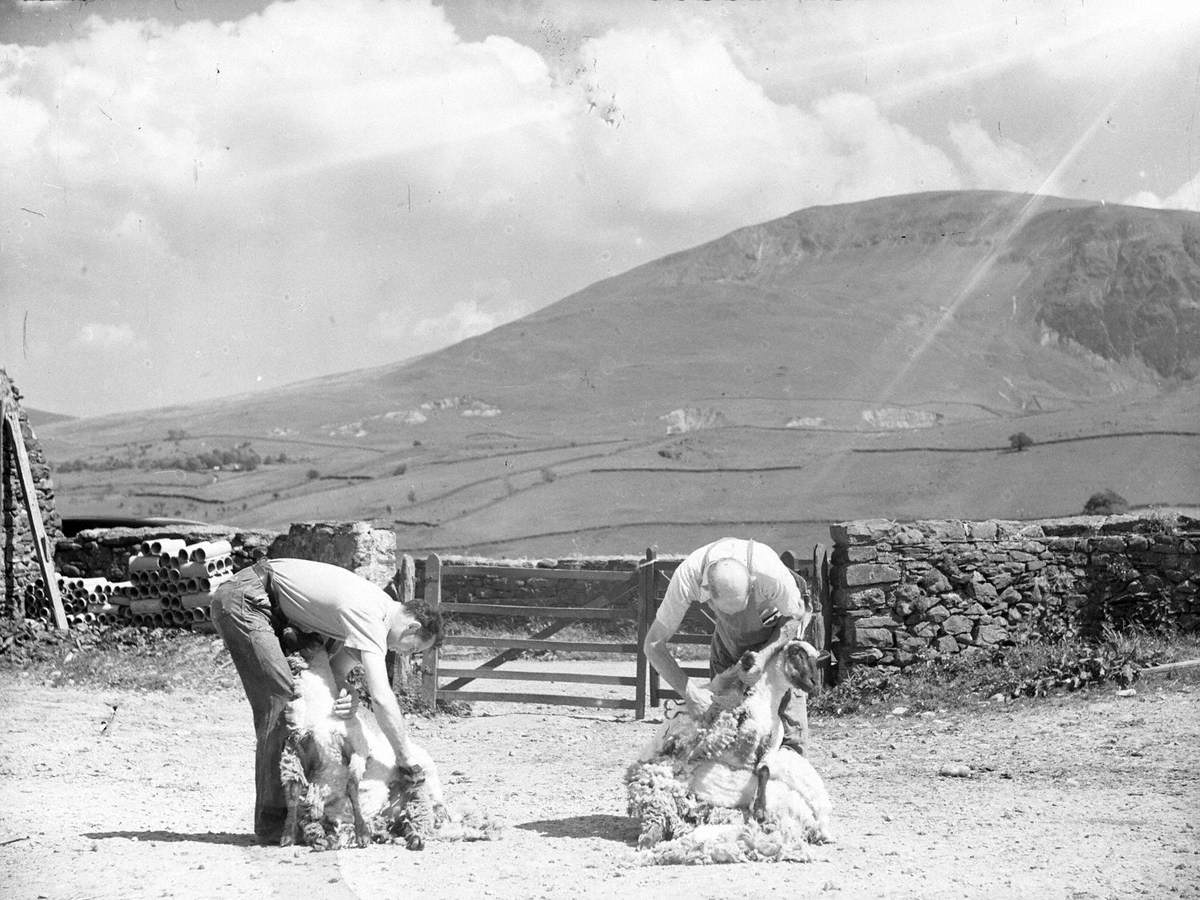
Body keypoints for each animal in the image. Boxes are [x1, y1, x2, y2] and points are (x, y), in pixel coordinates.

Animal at [279, 628, 496, 849]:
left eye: (313, 635)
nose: (287, 628)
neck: (319, 707)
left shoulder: (358, 748)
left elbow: (352, 787)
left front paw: (362, 834)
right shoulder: (295, 749)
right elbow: (293, 792)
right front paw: (287, 835)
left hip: (421, 789)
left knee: (428, 820)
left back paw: (420, 838)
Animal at [628, 643, 835, 868]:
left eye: (817, 659)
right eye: (797, 654)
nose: (813, 684)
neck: (765, 702)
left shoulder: (770, 748)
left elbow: (763, 770)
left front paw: (759, 808)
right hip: (659, 788)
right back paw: (649, 839)